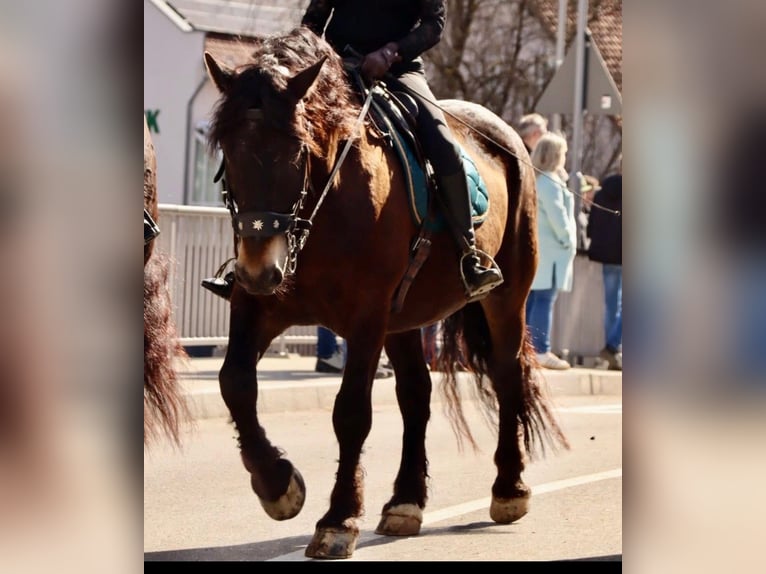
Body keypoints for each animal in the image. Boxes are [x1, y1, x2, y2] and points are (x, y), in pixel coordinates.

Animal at [203, 26, 568, 559]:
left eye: (297, 151)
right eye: (229, 154)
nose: (258, 267)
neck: (325, 208)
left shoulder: (366, 317)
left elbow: (351, 413)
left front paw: (337, 519)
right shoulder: (261, 305)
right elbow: (234, 383)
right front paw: (278, 485)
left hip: (504, 301)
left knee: (507, 378)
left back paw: (508, 489)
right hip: (405, 318)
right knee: (416, 394)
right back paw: (405, 502)